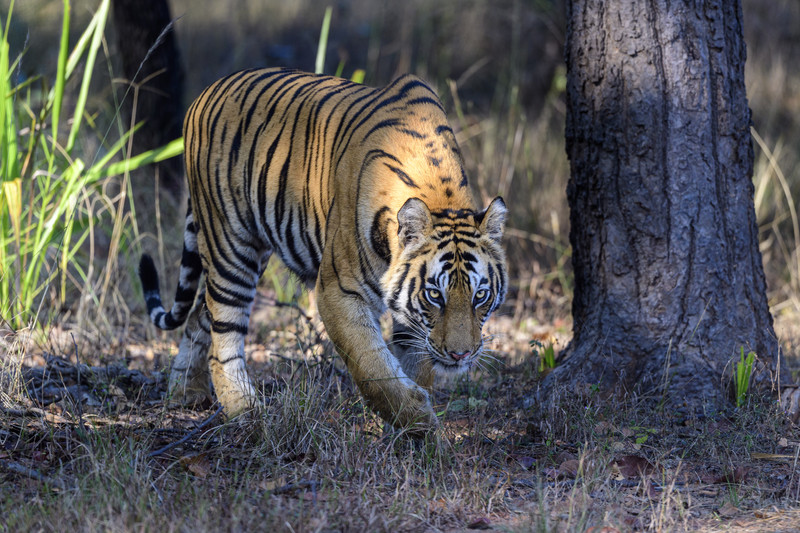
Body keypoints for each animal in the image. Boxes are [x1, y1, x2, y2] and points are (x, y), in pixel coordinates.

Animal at [139, 67, 507, 431]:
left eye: (480, 296)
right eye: (435, 295)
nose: (461, 355)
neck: (440, 196)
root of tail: (205, 93)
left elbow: (415, 364)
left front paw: (411, 432)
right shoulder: (337, 291)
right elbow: (374, 369)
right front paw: (420, 423)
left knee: (200, 313)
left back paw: (184, 392)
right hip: (230, 245)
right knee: (223, 336)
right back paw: (248, 415)